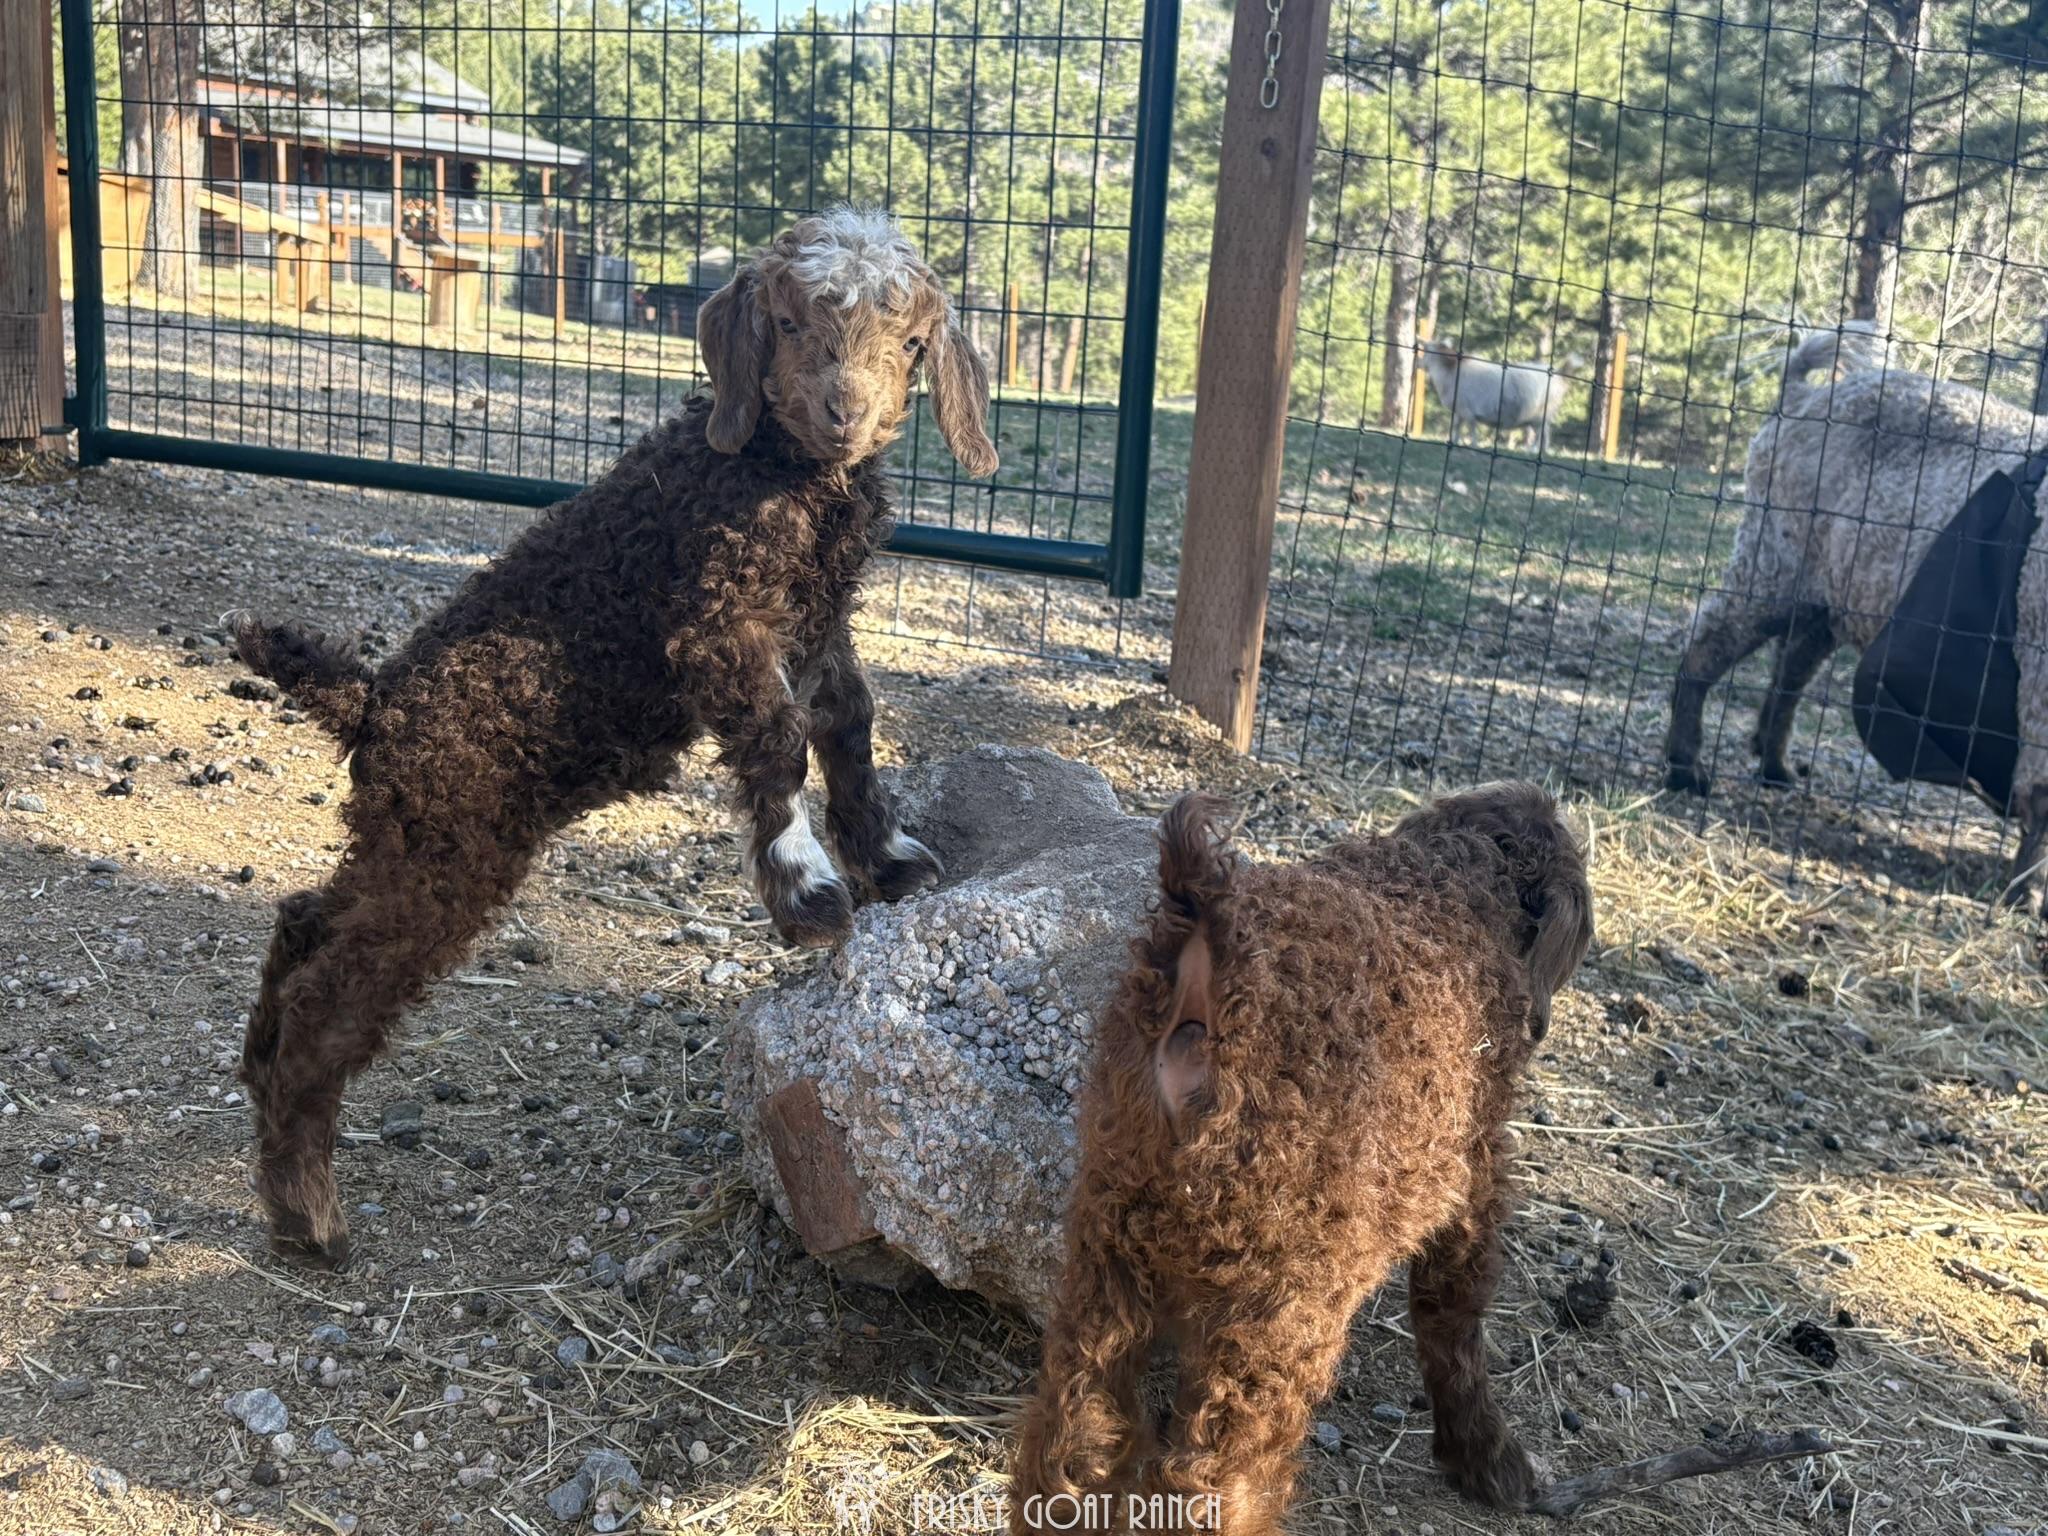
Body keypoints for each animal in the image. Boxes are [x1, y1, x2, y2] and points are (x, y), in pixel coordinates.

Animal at [230, 207, 998, 1267]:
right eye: (789, 323)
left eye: (912, 339)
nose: (845, 409)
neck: (780, 476)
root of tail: (373, 700)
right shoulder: (716, 619)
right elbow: (779, 740)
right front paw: (805, 890)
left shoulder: (820, 625)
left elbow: (848, 719)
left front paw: (887, 855)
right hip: (448, 852)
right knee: (332, 998)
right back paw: (307, 1211)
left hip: (402, 834)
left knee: (305, 919)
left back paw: (259, 1085)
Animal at [1011, 784, 1595, 1535]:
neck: (1448, 885)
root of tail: (1211, 949)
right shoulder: (1476, 1172)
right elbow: (1454, 1314)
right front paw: (1489, 1464)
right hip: (1278, 1287)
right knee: (1214, 1480)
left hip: (1110, 1227)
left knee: (1073, 1436)